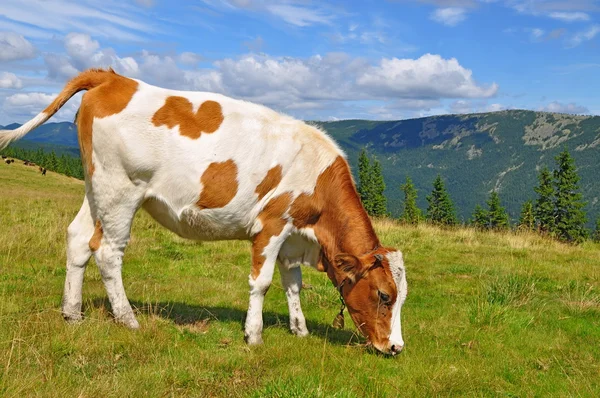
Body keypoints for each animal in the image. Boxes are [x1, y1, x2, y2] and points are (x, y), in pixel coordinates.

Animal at [0, 67, 408, 354]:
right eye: (384, 295)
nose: (395, 347)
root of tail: (114, 77)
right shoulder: (272, 224)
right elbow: (262, 282)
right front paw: (254, 335)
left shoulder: (293, 238)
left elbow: (293, 284)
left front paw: (300, 330)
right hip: (121, 190)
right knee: (107, 251)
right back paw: (128, 320)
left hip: (95, 187)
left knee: (78, 239)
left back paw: (72, 313)